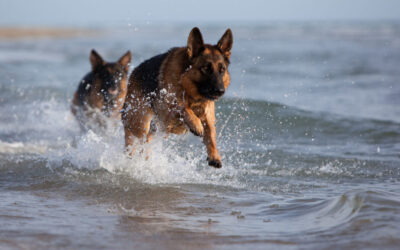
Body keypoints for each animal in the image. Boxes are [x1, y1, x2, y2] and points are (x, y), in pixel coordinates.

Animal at [123, 26, 233, 168]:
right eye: (205, 68)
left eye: (222, 69)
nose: (220, 91)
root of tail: (133, 72)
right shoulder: (167, 112)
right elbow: (182, 106)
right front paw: (195, 123)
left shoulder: (208, 117)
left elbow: (211, 134)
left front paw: (214, 155)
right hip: (141, 124)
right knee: (133, 139)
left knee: (147, 143)